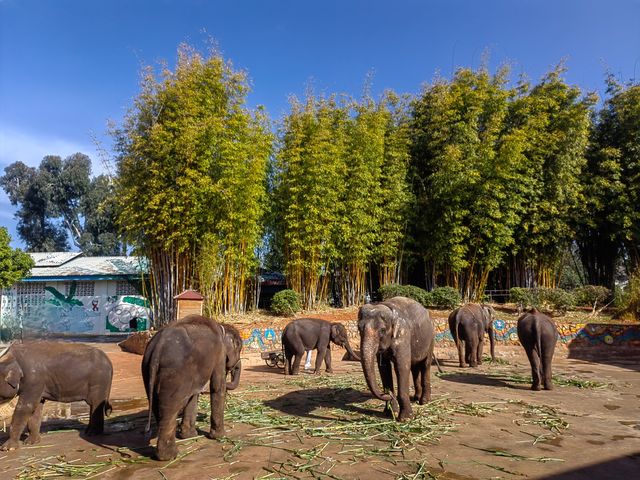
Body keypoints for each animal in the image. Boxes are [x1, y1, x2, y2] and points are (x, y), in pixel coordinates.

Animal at [141, 316, 239, 462]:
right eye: (239, 350)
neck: (222, 327)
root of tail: (157, 347)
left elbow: (193, 395)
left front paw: (189, 435)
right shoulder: (219, 354)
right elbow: (217, 386)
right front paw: (221, 436)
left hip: (147, 370)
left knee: (157, 407)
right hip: (174, 374)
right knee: (170, 409)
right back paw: (170, 456)